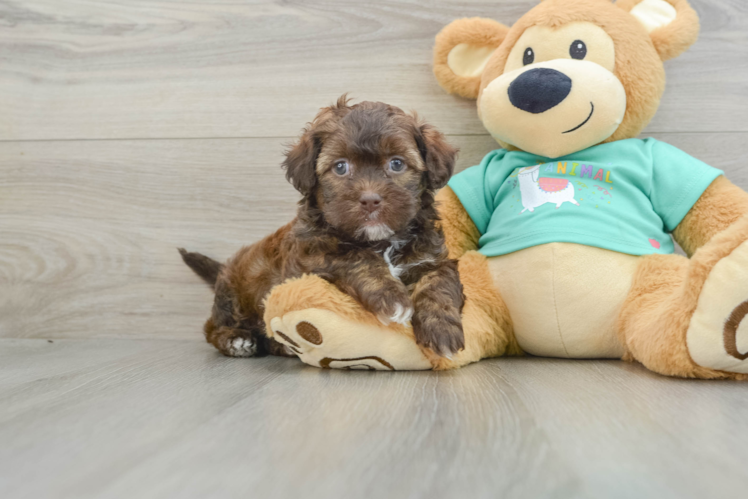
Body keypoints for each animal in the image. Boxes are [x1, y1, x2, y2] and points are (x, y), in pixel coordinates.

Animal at [181, 97, 464, 362]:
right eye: (340, 166)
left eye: (396, 163)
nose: (370, 200)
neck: (379, 241)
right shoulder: (313, 258)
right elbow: (357, 259)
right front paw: (391, 297)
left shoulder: (431, 258)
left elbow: (438, 283)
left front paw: (442, 330)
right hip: (233, 299)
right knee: (212, 327)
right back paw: (236, 340)